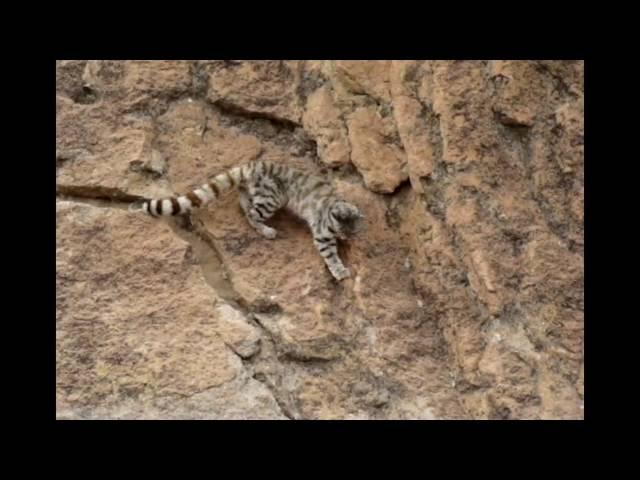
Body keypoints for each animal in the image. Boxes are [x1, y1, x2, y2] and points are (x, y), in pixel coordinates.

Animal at [134, 160, 364, 282]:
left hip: (257, 193)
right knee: (252, 214)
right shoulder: (322, 234)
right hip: (273, 198)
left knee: (243, 203)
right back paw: (267, 230)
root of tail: (254, 164)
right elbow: (331, 255)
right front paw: (340, 270)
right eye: (342, 229)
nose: (347, 237)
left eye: (353, 231)